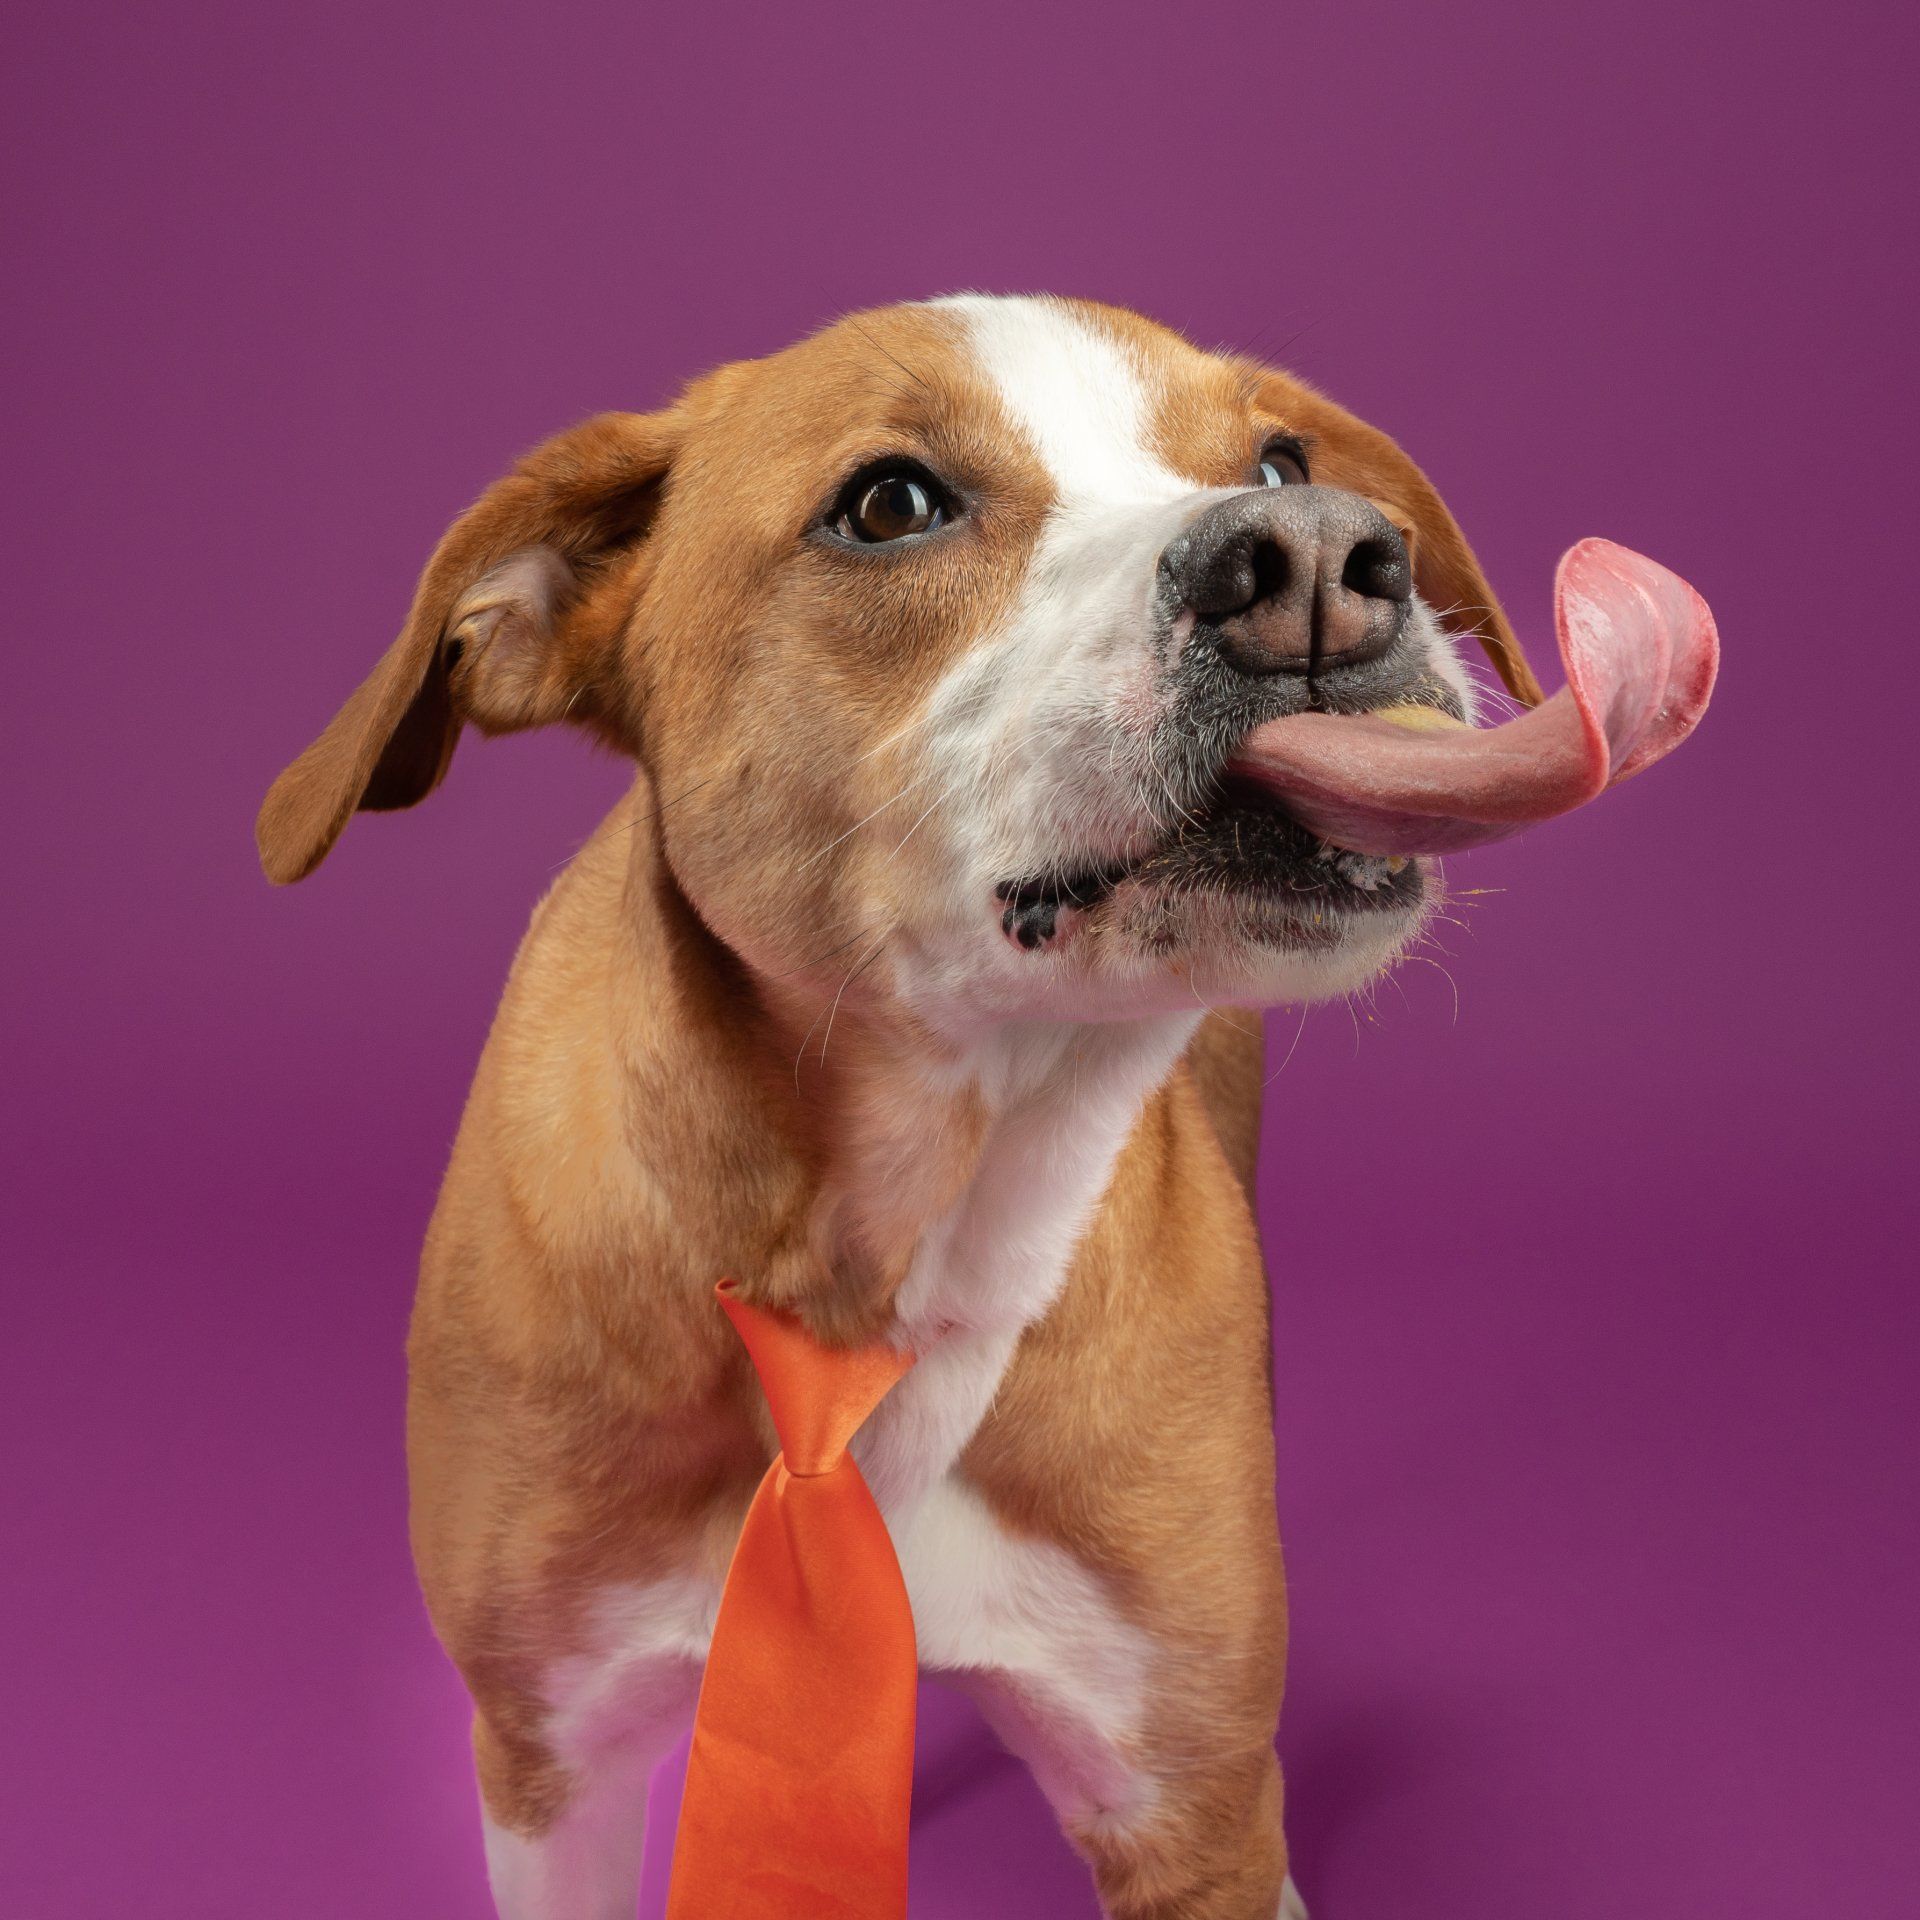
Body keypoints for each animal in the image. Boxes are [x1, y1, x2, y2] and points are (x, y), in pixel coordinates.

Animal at [259, 291, 1543, 1912]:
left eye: (1279, 461)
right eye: (890, 505)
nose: (1321, 557)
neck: (883, 1257)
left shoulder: (1190, 1804)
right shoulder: (550, 1763)